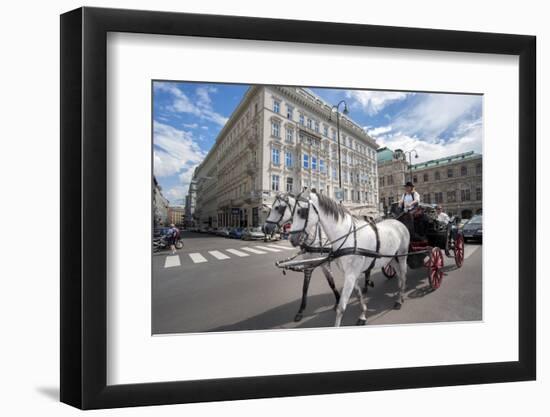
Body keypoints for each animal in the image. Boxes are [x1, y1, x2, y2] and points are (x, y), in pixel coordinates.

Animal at [292, 190, 412, 326]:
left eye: (302, 212)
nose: (292, 239)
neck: (347, 237)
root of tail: (399, 222)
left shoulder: (350, 274)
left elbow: (341, 307)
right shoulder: (351, 274)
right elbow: (359, 295)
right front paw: (363, 315)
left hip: (402, 255)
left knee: (403, 275)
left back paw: (399, 300)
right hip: (390, 258)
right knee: (399, 275)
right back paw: (400, 294)